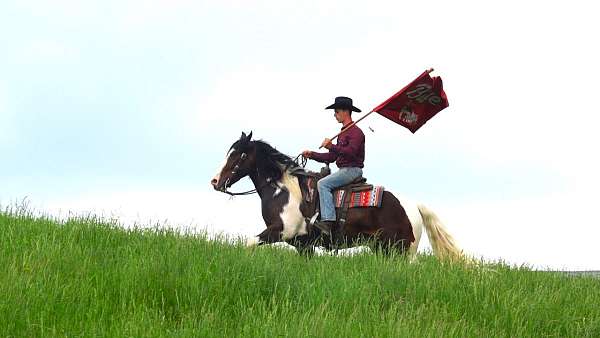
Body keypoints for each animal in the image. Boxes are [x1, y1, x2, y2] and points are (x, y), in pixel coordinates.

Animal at [211, 131, 464, 260]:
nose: (215, 182)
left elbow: (249, 243)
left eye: (239, 155)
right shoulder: (303, 246)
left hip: (402, 251)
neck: (283, 191)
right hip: (382, 249)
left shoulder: (280, 231)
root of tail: (414, 206)